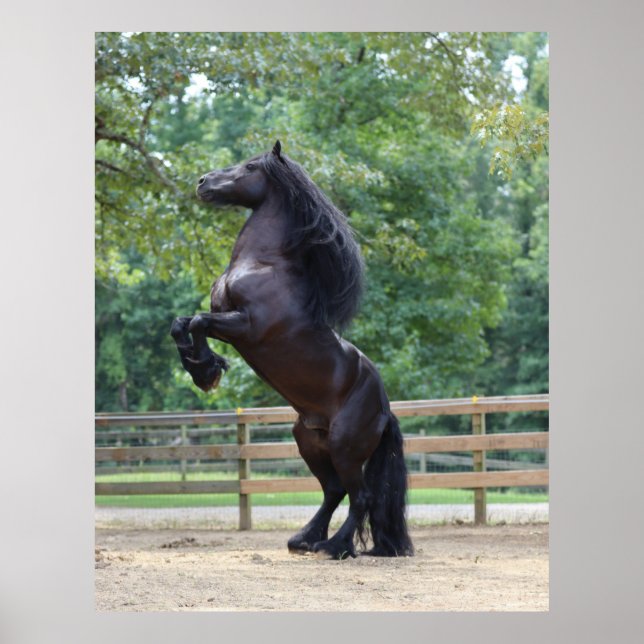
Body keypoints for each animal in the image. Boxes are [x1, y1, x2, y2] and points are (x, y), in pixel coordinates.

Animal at [170, 141, 413, 559]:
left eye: (250, 167)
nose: (203, 182)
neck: (264, 264)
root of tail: (384, 410)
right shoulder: (227, 320)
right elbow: (181, 324)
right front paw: (202, 366)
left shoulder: (246, 327)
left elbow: (199, 321)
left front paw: (207, 371)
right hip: (309, 440)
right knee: (333, 490)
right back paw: (303, 539)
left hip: (345, 446)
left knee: (360, 496)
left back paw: (334, 546)